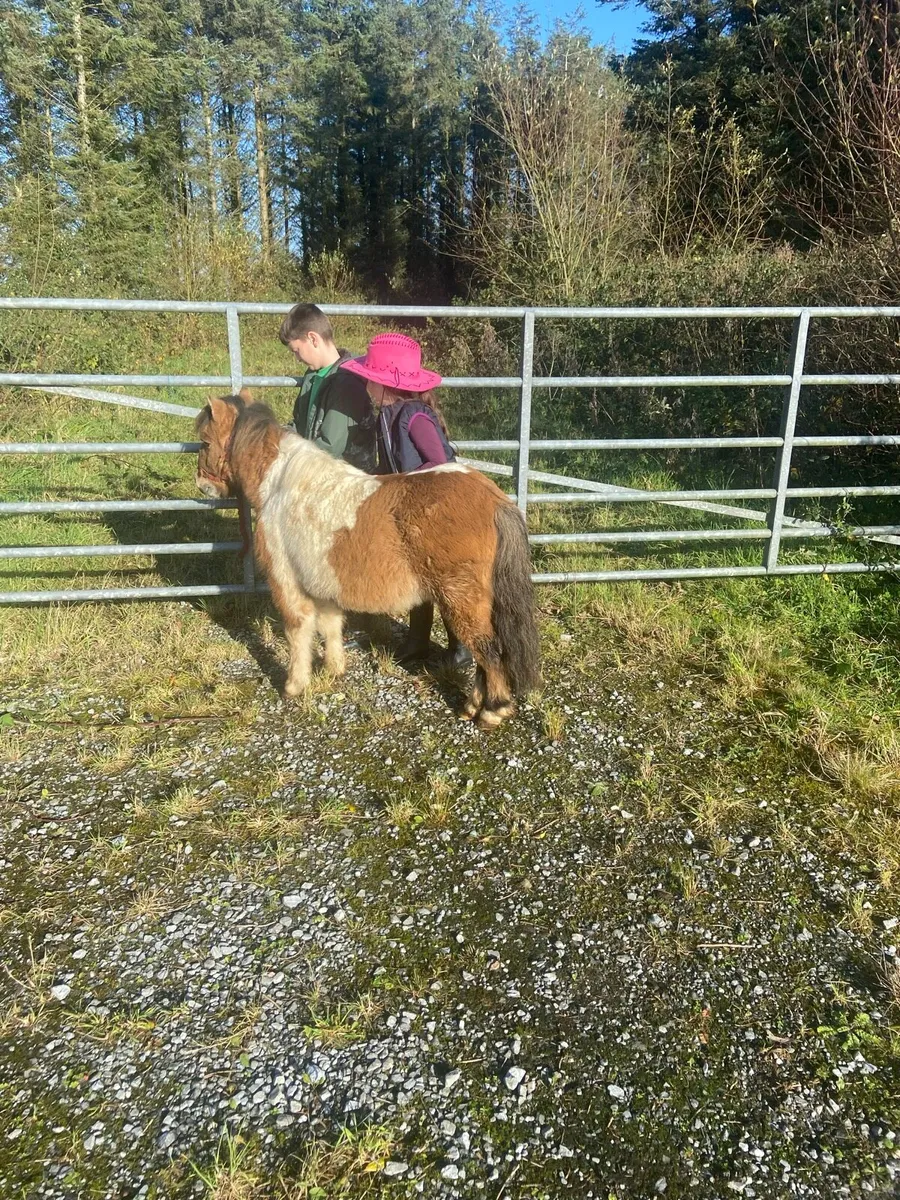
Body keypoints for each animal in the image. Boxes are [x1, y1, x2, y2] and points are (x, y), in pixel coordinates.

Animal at [195, 390, 540, 729]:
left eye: (205, 442)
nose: (203, 485)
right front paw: (334, 669)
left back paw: (492, 711)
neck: (282, 485)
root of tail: (493, 499)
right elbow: (331, 625)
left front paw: (294, 685)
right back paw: (472, 706)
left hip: (462, 601)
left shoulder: (286, 583)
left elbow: (298, 631)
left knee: (489, 652)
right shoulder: (323, 584)